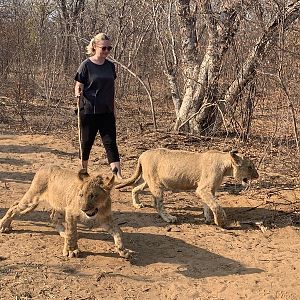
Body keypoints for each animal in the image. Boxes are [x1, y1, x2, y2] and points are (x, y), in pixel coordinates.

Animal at [0, 165, 132, 258]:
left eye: (93, 196)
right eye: (81, 195)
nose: (83, 209)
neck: (97, 211)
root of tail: (44, 167)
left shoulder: (106, 219)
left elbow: (118, 231)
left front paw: (123, 250)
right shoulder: (71, 212)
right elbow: (72, 232)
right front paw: (71, 250)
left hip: (60, 205)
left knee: (53, 217)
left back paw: (63, 233)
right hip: (32, 198)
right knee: (14, 206)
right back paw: (4, 225)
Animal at [116, 148, 258, 227]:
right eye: (250, 167)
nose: (257, 176)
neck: (225, 165)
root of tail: (142, 154)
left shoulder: (209, 189)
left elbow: (208, 204)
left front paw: (208, 218)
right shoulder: (203, 189)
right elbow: (216, 206)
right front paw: (221, 222)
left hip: (148, 181)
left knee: (135, 188)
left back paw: (137, 204)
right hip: (156, 184)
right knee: (158, 204)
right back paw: (169, 218)